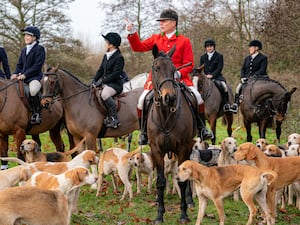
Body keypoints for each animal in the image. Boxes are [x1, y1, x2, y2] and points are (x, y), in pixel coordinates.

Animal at [146, 44, 196, 222]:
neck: (166, 114)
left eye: (174, 69)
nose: (170, 97)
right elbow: (161, 181)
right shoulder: (156, 150)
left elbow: (182, 181)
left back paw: (189, 200)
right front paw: (159, 214)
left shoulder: (182, 148)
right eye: (156, 68)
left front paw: (183, 214)